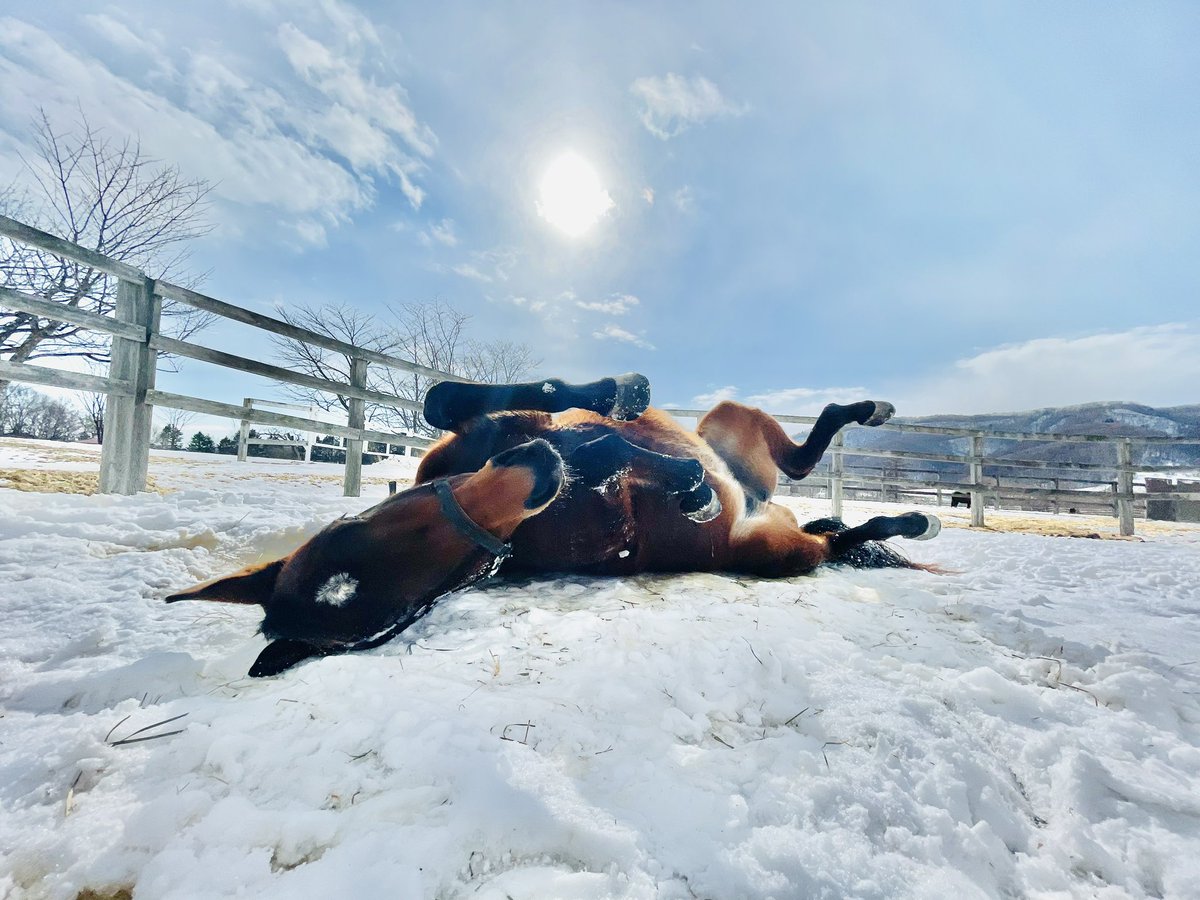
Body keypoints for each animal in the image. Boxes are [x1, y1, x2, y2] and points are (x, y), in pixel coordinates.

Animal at [169, 374, 936, 676]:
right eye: (415, 605)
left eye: (363, 522)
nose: (535, 468)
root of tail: (757, 505)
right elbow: (611, 465)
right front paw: (672, 480)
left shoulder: (498, 429)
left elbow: (444, 398)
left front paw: (617, 398)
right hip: (781, 549)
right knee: (833, 534)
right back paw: (909, 518)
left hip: (729, 423)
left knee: (806, 457)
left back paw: (871, 416)